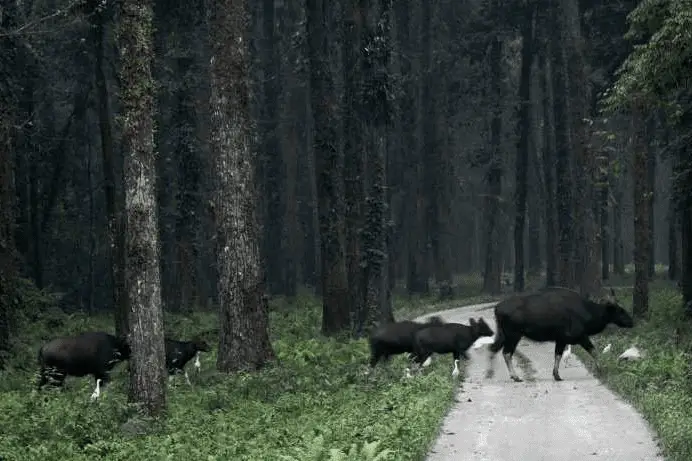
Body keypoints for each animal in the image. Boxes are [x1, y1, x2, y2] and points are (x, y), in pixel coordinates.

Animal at [486, 288, 632, 380]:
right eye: (620, 310)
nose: (631, 321)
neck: (589, 315)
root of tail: (497, 308)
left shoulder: (561, 339)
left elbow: (558, 355)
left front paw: (556, 375)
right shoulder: (579, 336)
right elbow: (594, 351)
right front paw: (602, 370)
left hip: (503, 334)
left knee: (494, 348)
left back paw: (490, 373)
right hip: (513, 334)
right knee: (506, 353)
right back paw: (515, 376)